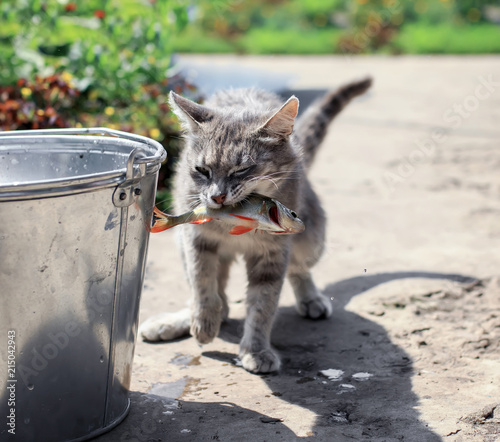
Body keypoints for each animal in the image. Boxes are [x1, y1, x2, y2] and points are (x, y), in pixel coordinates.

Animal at [145, 78, 372, 372]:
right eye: (202, 170)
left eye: (241, 170)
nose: (216, 197)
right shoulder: (197, 239)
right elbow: (202, 283)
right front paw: (204, 322)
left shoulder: (272, 253)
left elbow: (263, 305)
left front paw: (255, 350)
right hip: (181, 242)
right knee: (218, 300)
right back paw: (184, 319)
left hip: (312, 239)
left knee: (299, 269)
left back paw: (311, 298)